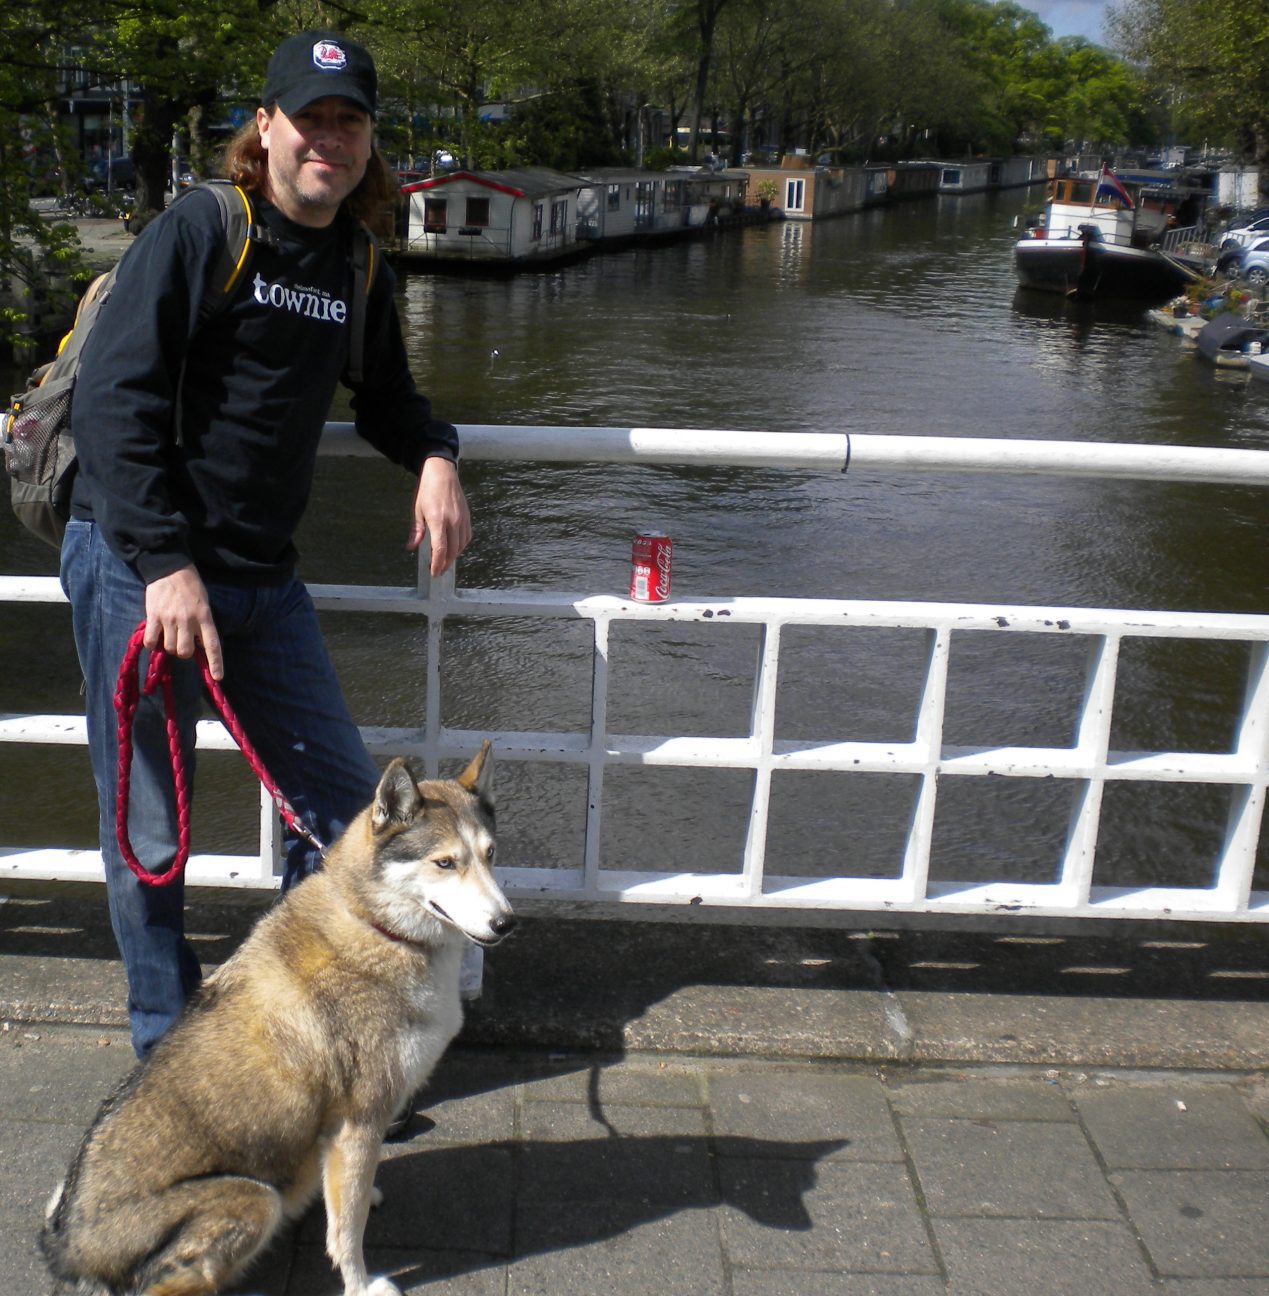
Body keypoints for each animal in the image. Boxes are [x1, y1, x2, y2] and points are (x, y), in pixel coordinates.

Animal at [42, 741, 513, 1296]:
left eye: (490, 855)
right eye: (444, 862)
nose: (506, 923)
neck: (378, 926)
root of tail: (68, 1252)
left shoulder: (353, 1132)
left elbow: (348, 1201)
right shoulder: (360, 1120)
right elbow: (347, 1231)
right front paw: (360, 1284)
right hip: (253, 1198)